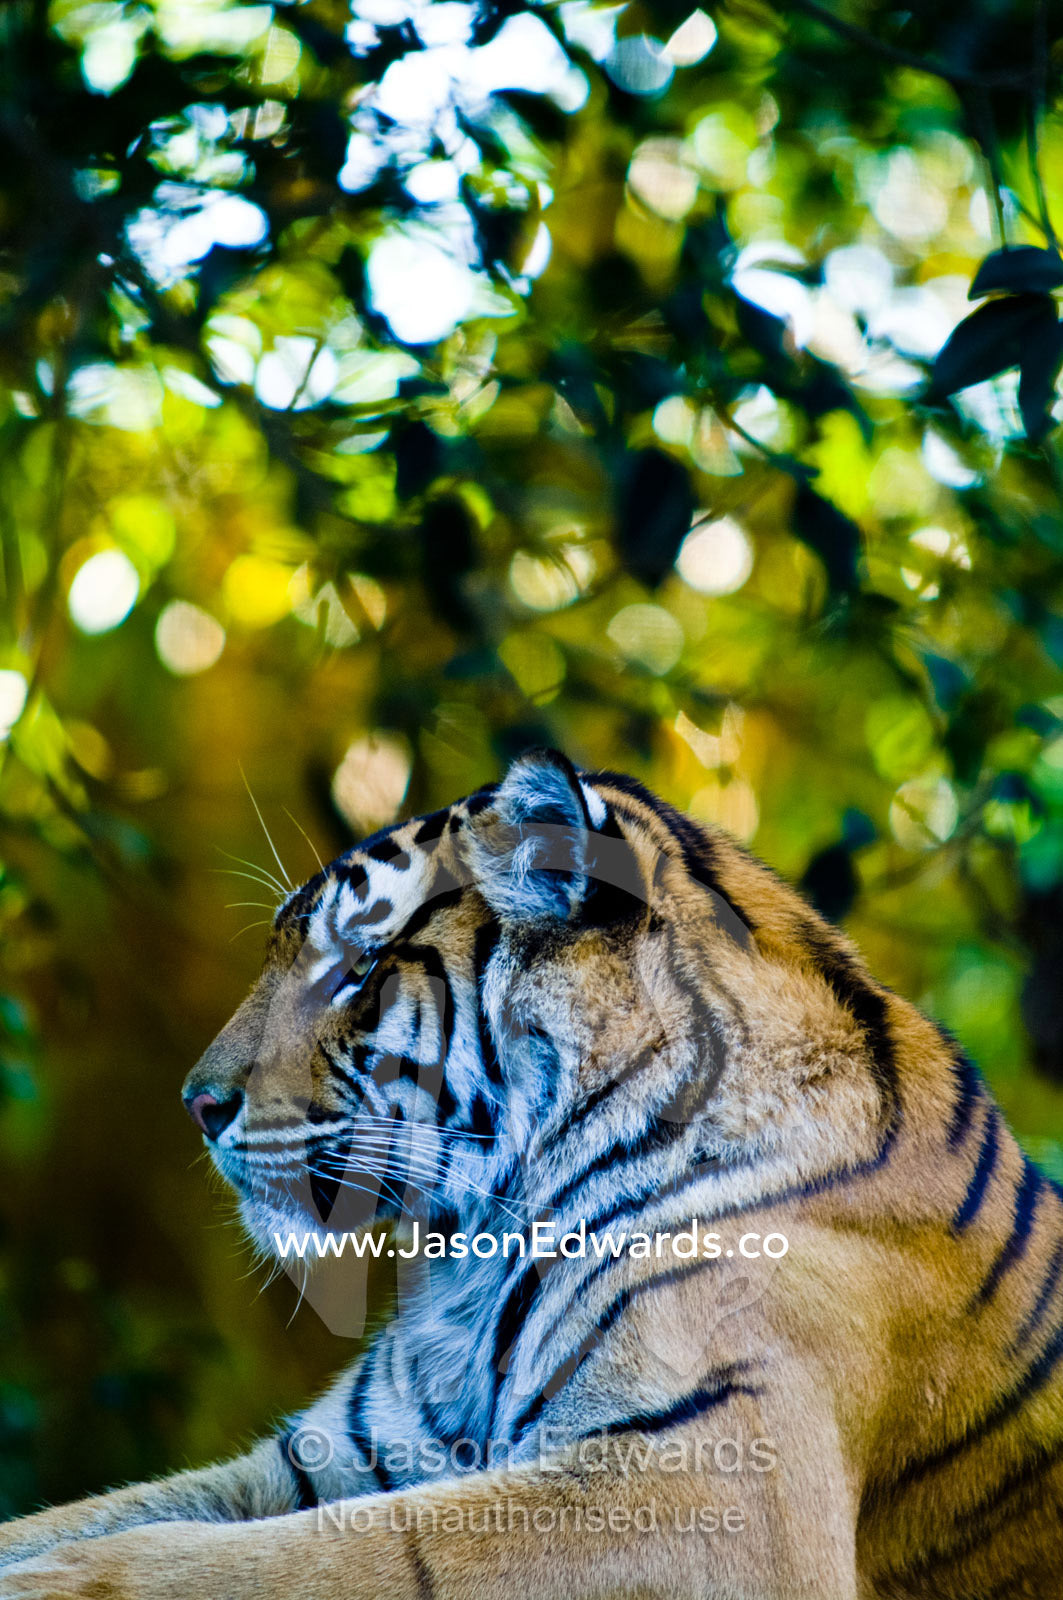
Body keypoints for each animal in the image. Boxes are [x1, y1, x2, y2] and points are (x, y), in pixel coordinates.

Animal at [1, 747, 1061, 1600]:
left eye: (357, 967)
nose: (197, 1103)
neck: (477, 1245)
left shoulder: (716, 1483)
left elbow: (347, 1556)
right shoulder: (342, 1455)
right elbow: (96, 1514)